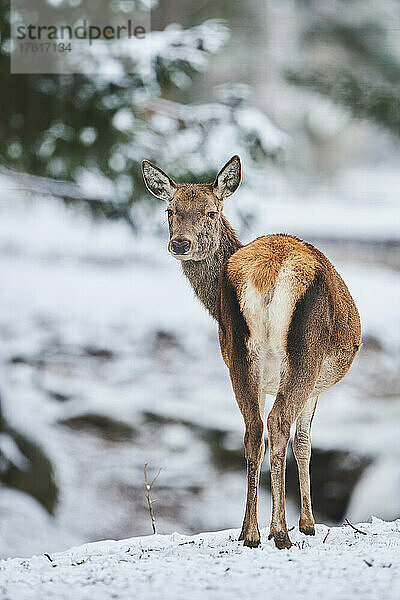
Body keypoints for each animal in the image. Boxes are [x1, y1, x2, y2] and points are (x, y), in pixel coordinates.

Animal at [142, 155, 360, 548]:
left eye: (211, 212)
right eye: (170, 210)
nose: (180, 244)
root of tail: (268, 272)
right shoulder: (317, 385)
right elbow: (303, 442)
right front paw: (308, 524)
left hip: (237, 353)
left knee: (252, 430)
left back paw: (250, 532)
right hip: (307, 352)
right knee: (277, 423)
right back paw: (279, 532)